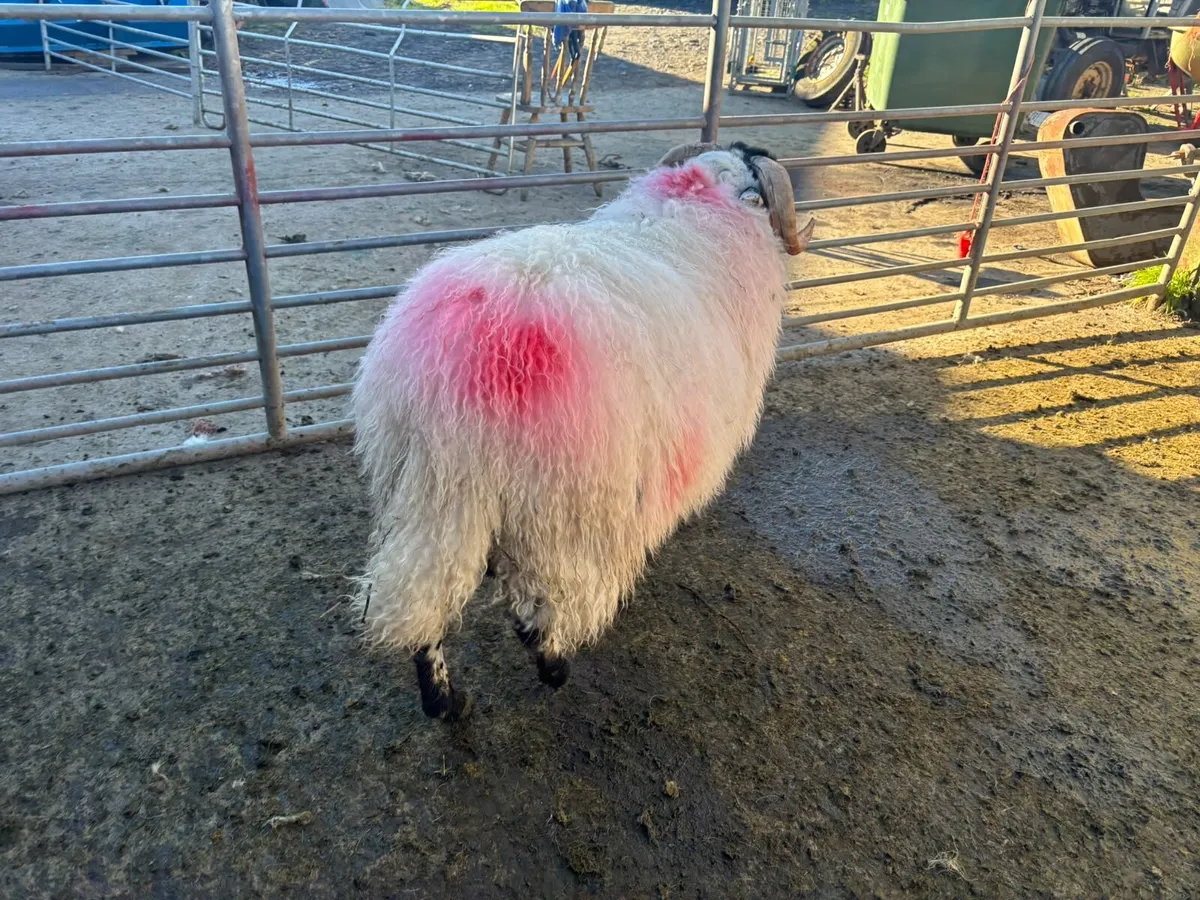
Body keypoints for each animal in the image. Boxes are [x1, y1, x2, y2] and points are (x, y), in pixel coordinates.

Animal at [351, 140, 814, 720]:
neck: (697, 205)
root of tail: (473, 363)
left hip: (419, 490)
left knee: (425, 597)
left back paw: (445, 701)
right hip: (558, 508)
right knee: (536, 603)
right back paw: (554, 667)